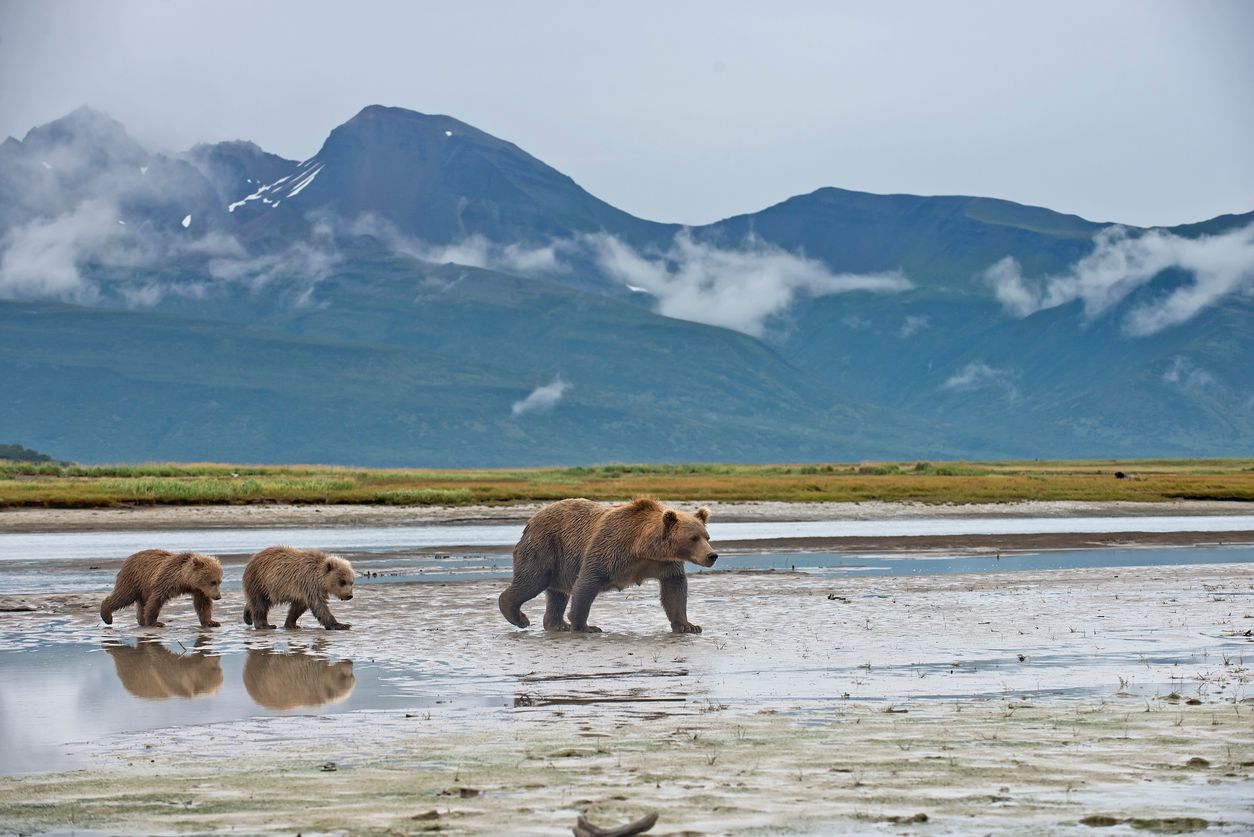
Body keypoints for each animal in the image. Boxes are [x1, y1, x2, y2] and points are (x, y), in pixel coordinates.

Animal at [498, 497, 717, 634]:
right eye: (693, 538)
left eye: (707, 536)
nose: (712, 555)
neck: (644, 549)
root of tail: (531, 520)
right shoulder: (611, 548)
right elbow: (587, 582)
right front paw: (585, 626)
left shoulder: (665, 565)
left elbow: (674, 590)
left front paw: (689, 626)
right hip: (546, 546)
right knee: (532, 581)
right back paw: (519, 617)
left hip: (559, 562)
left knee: (557, 594)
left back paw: (557, 624)